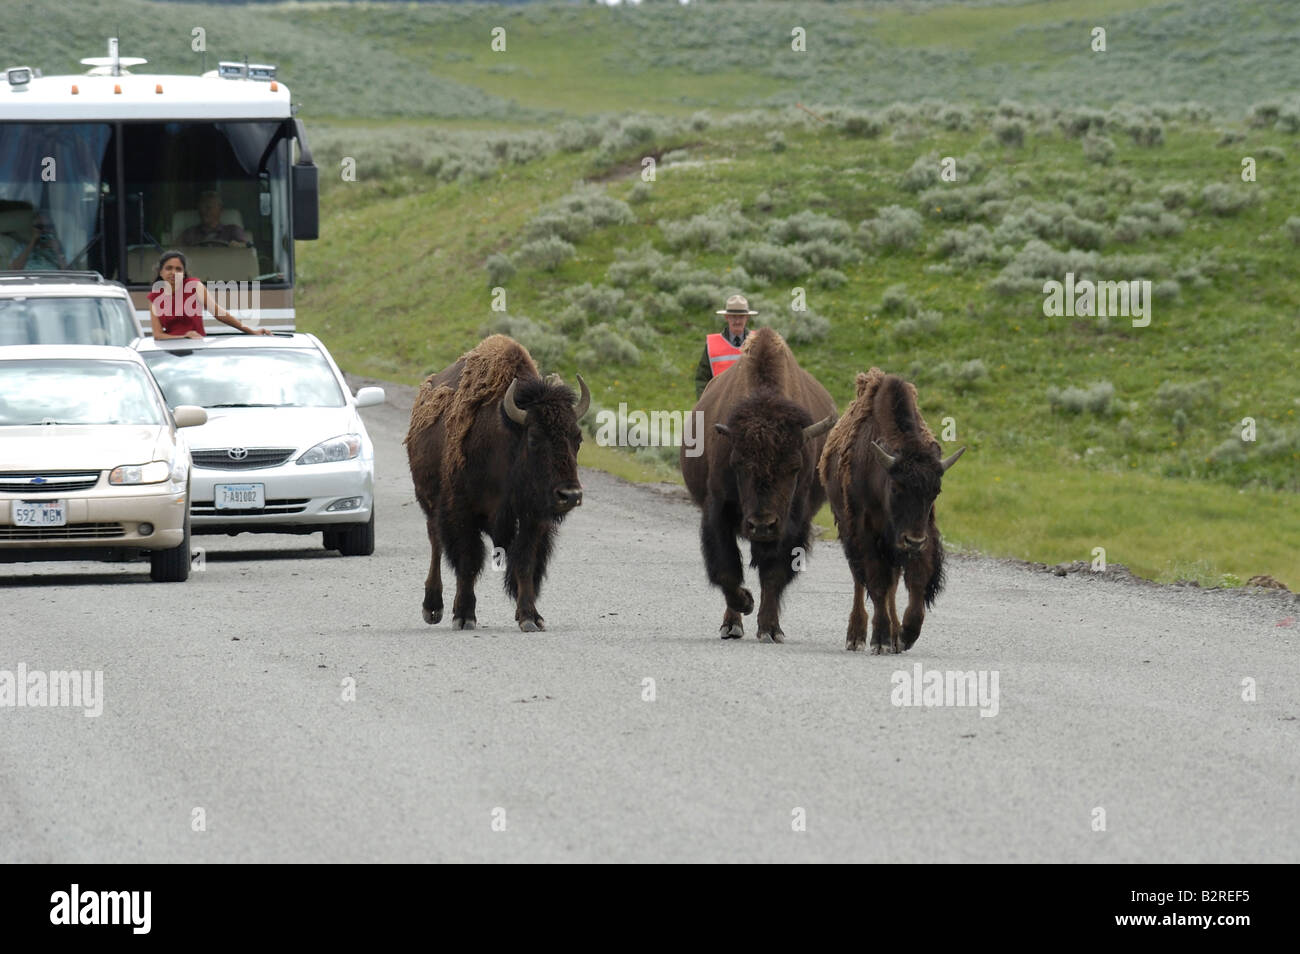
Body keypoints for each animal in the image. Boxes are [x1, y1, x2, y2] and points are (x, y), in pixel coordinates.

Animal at [405, 335, 589, 632]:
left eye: (578, 438)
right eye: (534, 437)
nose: (570, 495)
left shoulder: (532, 519)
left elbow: (524, 563)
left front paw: (530, 617)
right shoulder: (462, 512)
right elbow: (468, 562)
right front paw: (464, 616)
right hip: (429, 503)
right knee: (436, 544)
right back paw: (433, 608)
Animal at [681, 327, 836, 643]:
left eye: (795, 467)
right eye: (738, 464)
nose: (762, 525)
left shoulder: (793, 522)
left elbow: (773, 574)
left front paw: (770, 629)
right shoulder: (717, 511)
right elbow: (727, 570)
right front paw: (744, 606)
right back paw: (732, 625)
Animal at [818, 369, 964, 653]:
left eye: (935, 491)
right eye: (896, 488)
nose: (913, 540)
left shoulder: (922, 532)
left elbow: (914, 579)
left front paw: (906, 634)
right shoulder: (865, 532)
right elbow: (877, 583)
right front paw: (882, 640)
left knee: (892, 583)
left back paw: (895, 635)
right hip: (847, 530)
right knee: (860, 579)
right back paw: (857, 636)